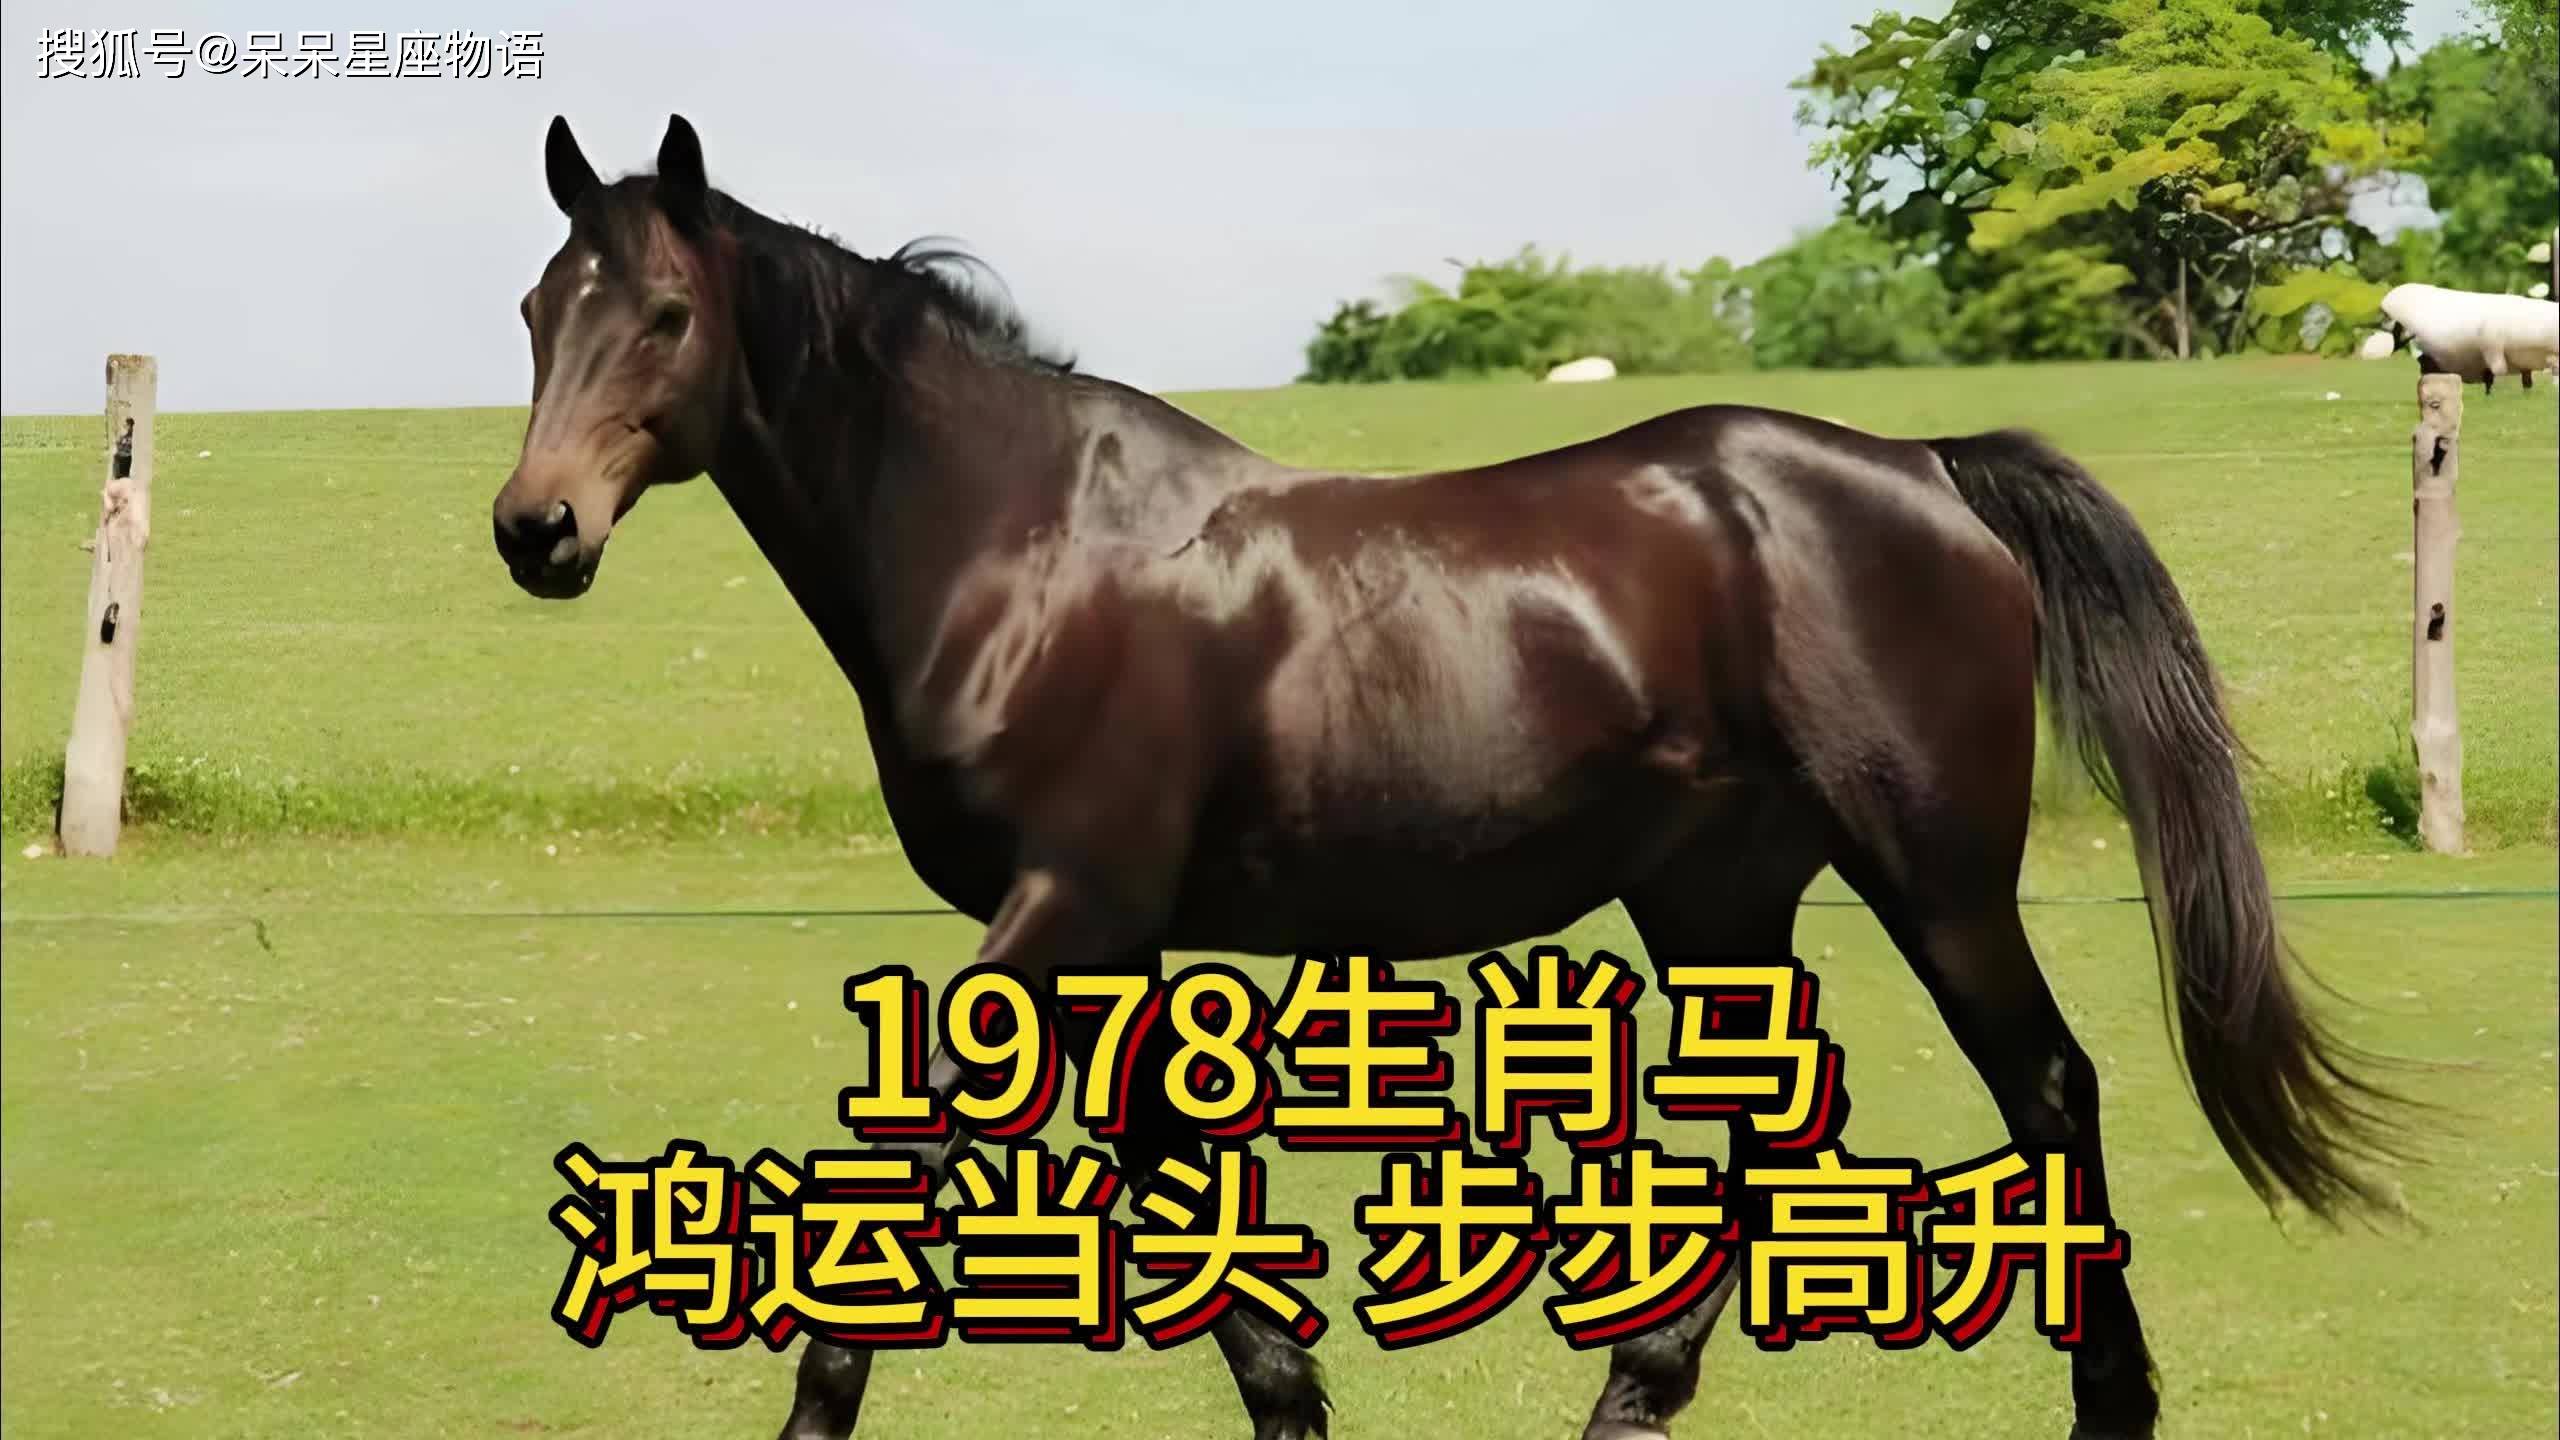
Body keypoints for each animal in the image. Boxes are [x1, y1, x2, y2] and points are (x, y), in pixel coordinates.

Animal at [489, 115, 2400, 1440]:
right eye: (531, 310)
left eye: (666, 313)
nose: (537, 530)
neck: (1022, 546)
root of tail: (1924, 467)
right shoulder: (1112, 941)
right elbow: (1178, 1197)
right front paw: (1293, 1398)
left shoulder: (1063, 913)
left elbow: (913, 1169)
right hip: (1717, 898)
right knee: (1773, 1132)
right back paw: (1634, 1393)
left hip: (1932, 878)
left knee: (2052, 1090)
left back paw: (2101, 1403)